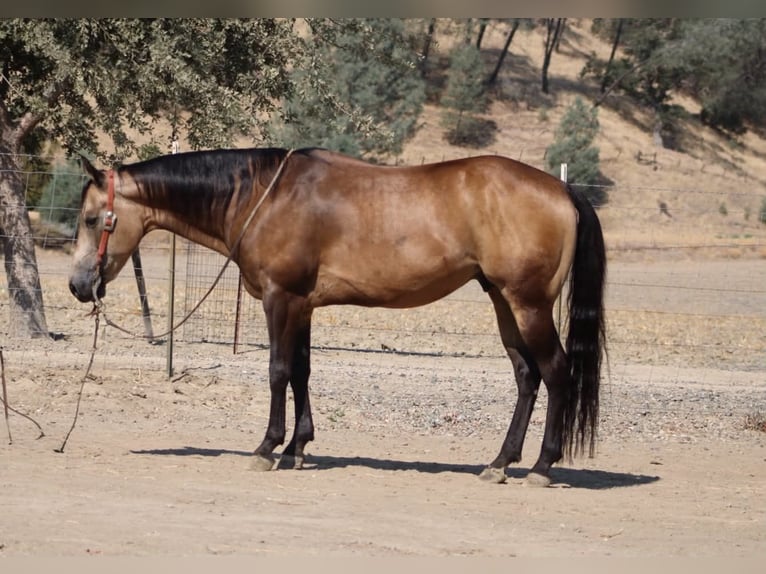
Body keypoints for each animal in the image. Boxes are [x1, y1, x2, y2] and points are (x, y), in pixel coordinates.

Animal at [69, 147, 606, 486]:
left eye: (92, 219)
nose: (78, 286)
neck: (266, 196)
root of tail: (562, 191)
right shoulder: (302, 305)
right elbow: (302, 372)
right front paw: (298, 448)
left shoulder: (280, 299)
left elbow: (278, 371)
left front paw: (267, 448)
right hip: (503, 302)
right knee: (526, 376)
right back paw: (500, 462)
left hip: (528, 304)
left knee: (556, 372)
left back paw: (541, 466)